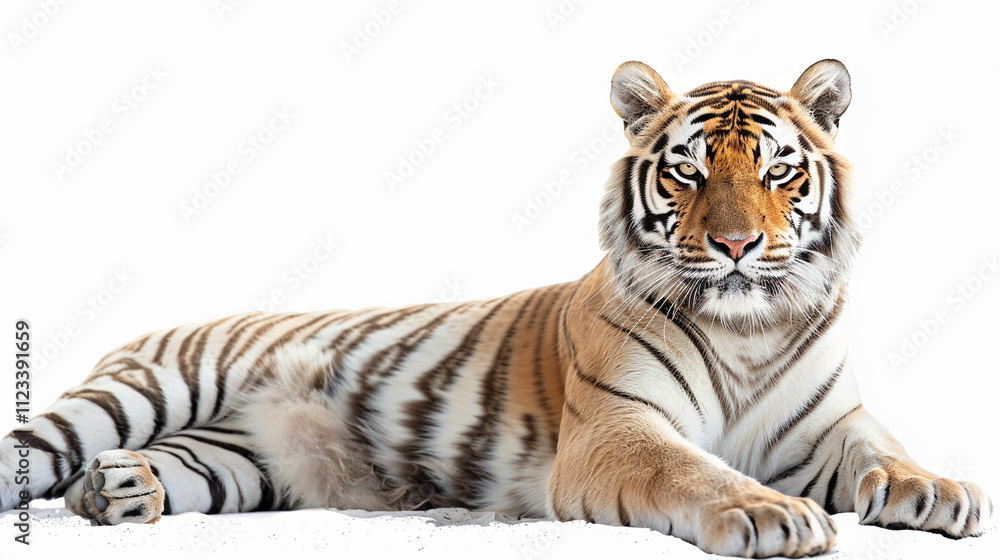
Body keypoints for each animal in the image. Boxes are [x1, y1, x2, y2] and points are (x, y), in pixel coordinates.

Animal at [0, 59, 993, 557]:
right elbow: (694, 471)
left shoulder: (832, 428)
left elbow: (888, 453)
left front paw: (942, 493)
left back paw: (118, 492)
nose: (739, 246)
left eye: (779, 170)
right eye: (689, 171)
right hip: (135, 393)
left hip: (239, 462)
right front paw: (768, 515)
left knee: (166, 470)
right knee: (35, 446)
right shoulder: (617, 431)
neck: (749, 328)